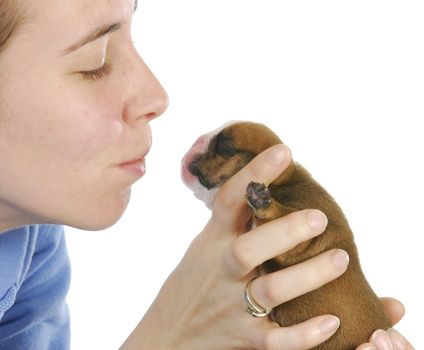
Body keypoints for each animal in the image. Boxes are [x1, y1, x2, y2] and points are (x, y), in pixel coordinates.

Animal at [181, 121, 392, 348]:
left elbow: (285, 216)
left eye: (226, 148)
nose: (192, 157)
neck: (284, 181)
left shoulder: (312, 232)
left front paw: (263, 202)